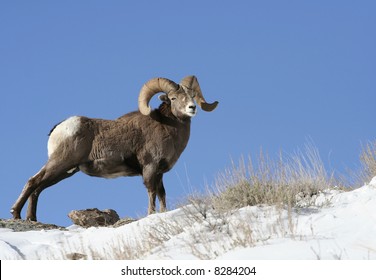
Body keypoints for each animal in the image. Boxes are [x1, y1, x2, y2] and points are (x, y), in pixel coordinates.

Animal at [11, 75, 217, 222]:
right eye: (174, 98)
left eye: (192, 97)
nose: (192, 108)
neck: (167, 127)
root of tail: (60, 127)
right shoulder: (150, 169)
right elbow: (152, 192)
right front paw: (151, 214)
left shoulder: (160, 173)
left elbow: (162, 194)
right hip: (60, 163)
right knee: (33, 181)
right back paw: (16, 213)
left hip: (66, 171)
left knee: (39, 187)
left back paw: (31, 218)